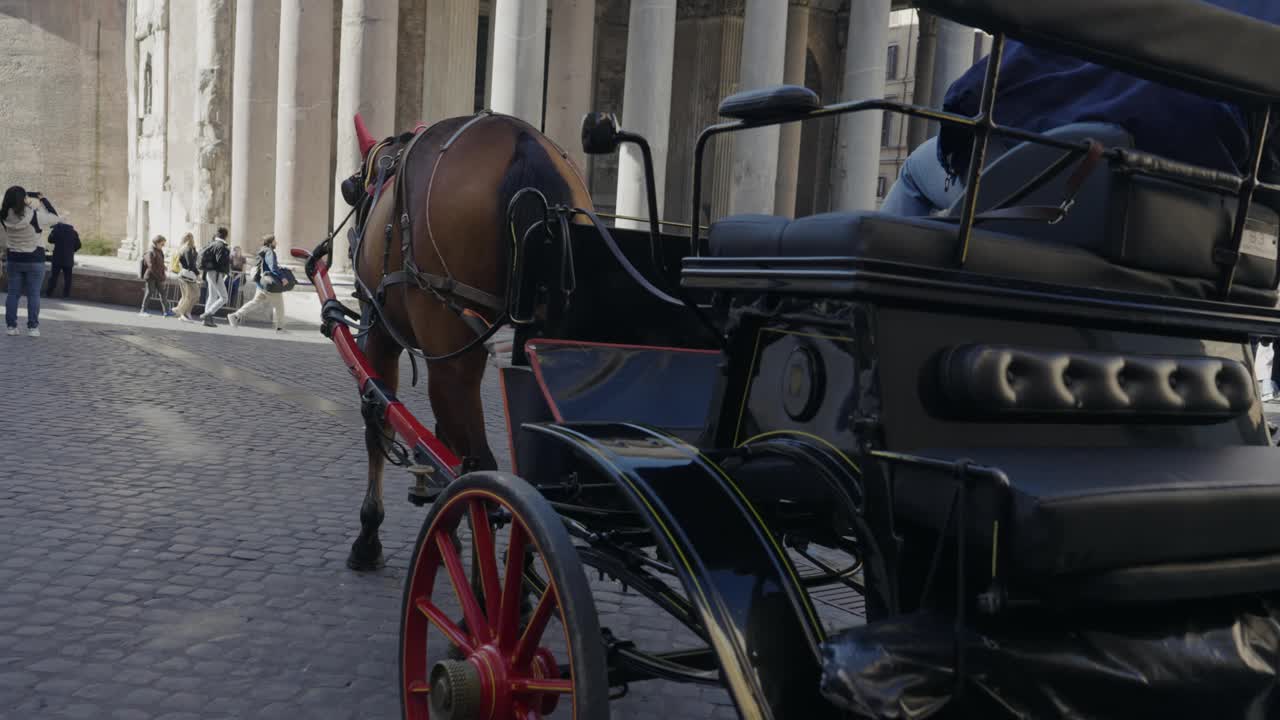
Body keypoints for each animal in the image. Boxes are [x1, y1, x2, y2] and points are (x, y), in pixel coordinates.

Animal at [345, 112, 593, 568]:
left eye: (351, 189)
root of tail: (521, 141)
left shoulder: (380, 333)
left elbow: (379, 420)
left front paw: (369, 535)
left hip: (450, 351)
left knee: (483, 472)